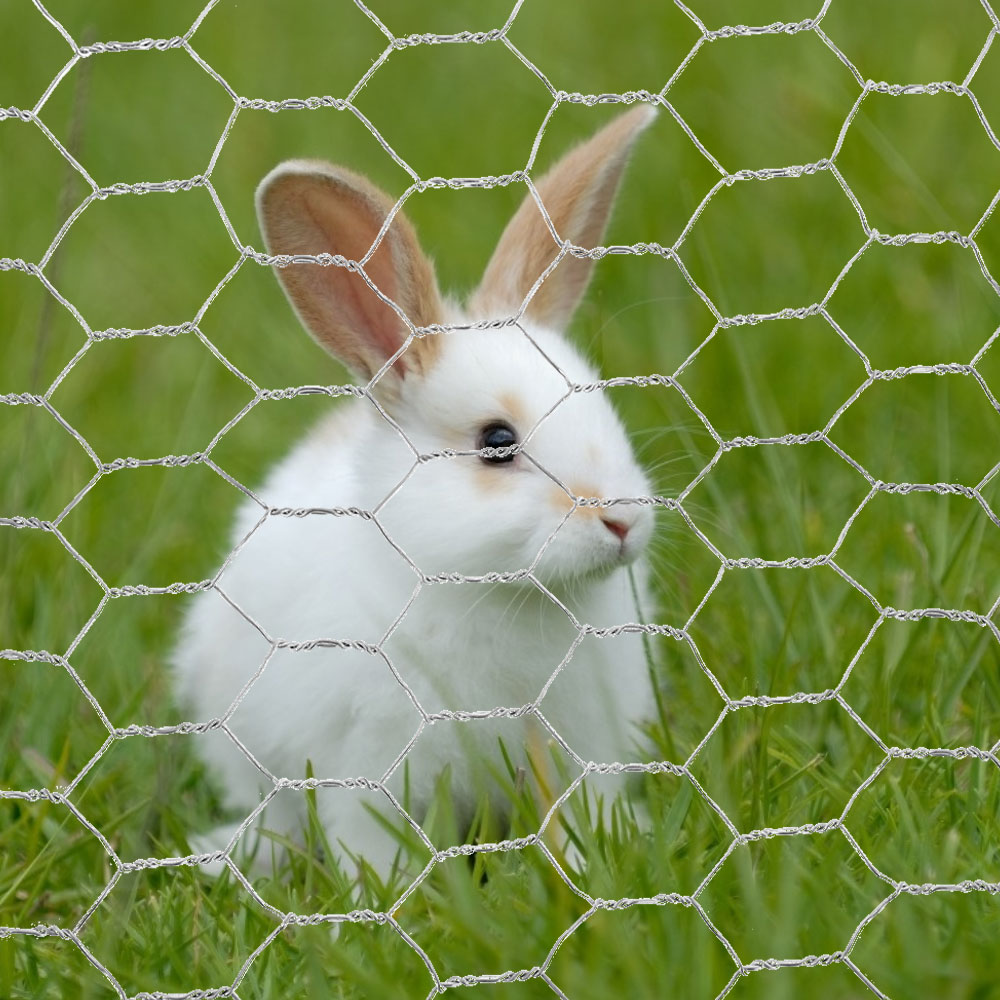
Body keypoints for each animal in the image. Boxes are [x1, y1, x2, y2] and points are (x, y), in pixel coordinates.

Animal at [176, 103, 660, 884]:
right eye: (497, 441)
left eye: (605, 408)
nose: (621, 523)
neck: (498, 594)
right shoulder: (365, 758)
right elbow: (367, 837)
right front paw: (385, 891)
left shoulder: (585, 743)